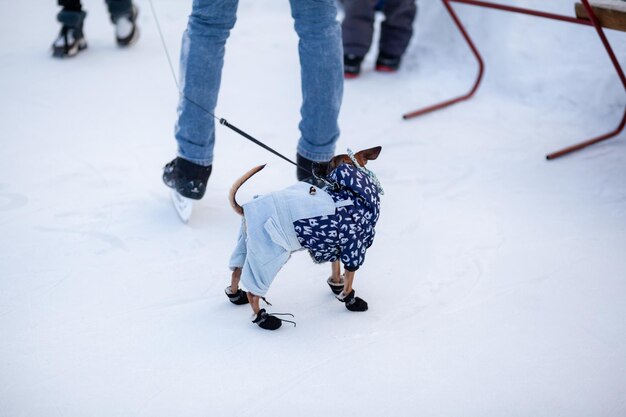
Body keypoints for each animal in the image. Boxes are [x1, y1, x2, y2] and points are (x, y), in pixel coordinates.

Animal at [224, 145, 380, 328]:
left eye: (329, 163)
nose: (314, 163)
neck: (354, 195)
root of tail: (245, 207)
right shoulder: (353, 249)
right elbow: (349, 280)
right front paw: (350, 300)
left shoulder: (333, 247)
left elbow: (335, 269)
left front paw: (336, 285)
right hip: (269, 256)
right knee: (253, 293)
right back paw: (264, 319)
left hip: (245, 248)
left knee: (236, 272)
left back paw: (236, 296)